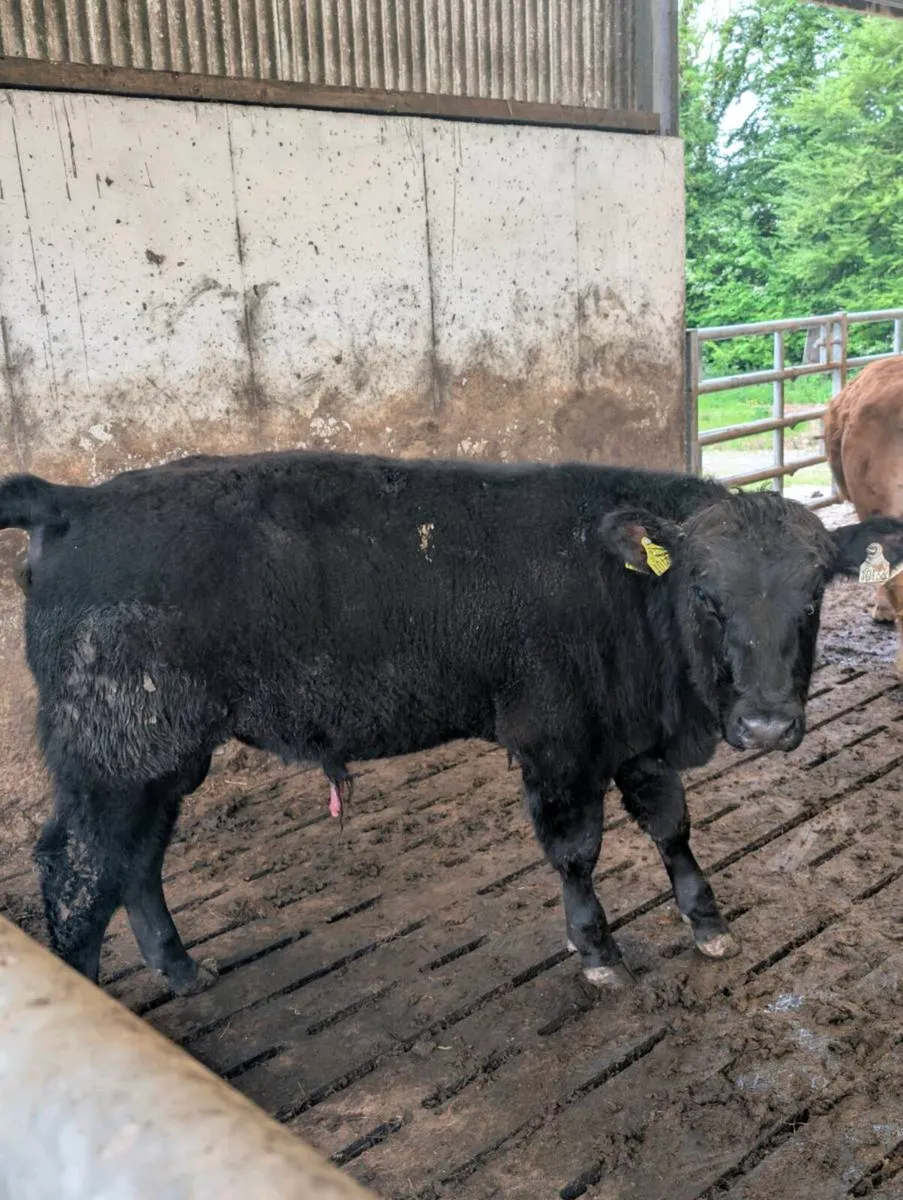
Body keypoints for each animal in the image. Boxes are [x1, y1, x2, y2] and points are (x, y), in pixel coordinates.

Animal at [1, 451, 901, 997]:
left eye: (814, 594)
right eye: (706, 595)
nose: (765, 724)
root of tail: (75, 500)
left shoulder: (635, 737)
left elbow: (669, 826)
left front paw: (705, 920)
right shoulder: (554, 742)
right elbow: (577, 851)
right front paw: (597, 951)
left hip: (160, 756)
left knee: (135, 861)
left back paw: (182, 970)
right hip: (116, 750)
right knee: (78, 864)